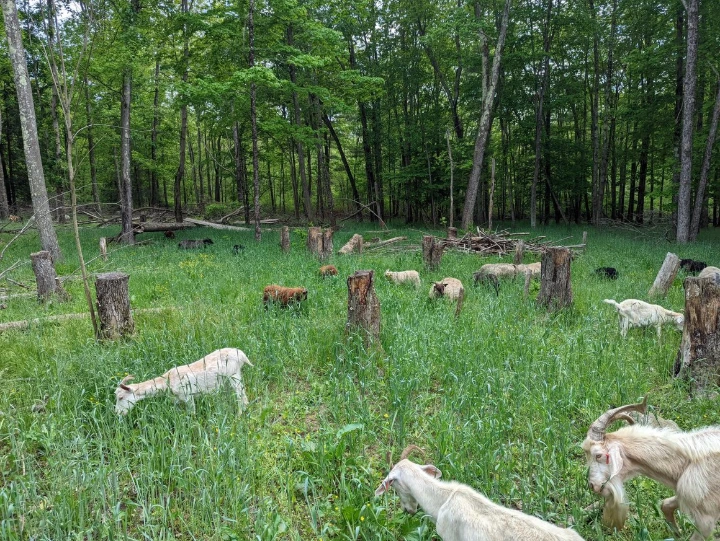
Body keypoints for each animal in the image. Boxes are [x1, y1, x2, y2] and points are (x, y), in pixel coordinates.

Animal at [114, 348, 253, 416]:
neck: (167, 381)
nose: (117, 413)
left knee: (241, 395)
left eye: (121, 397)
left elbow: (192, 413)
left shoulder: (187, 396)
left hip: (234, 375)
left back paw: (240, 414)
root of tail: (242, 355)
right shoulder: (177, 400)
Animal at [583, 397, 720, 539]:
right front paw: (677, 535)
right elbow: (665, 505)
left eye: (598, 455)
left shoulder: (706, 518)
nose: (592, 485)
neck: (687, 463)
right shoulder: (686, 498)